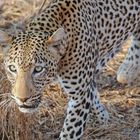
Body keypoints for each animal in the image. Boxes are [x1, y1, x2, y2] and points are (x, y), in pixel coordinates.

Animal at [0, 0, 139, 139]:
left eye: (38, 69)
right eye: (12, 68)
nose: (22, 99)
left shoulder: (80, 97)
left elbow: (70, 132)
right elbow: (92, 90)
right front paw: (102, 115)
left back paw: (127, 70)